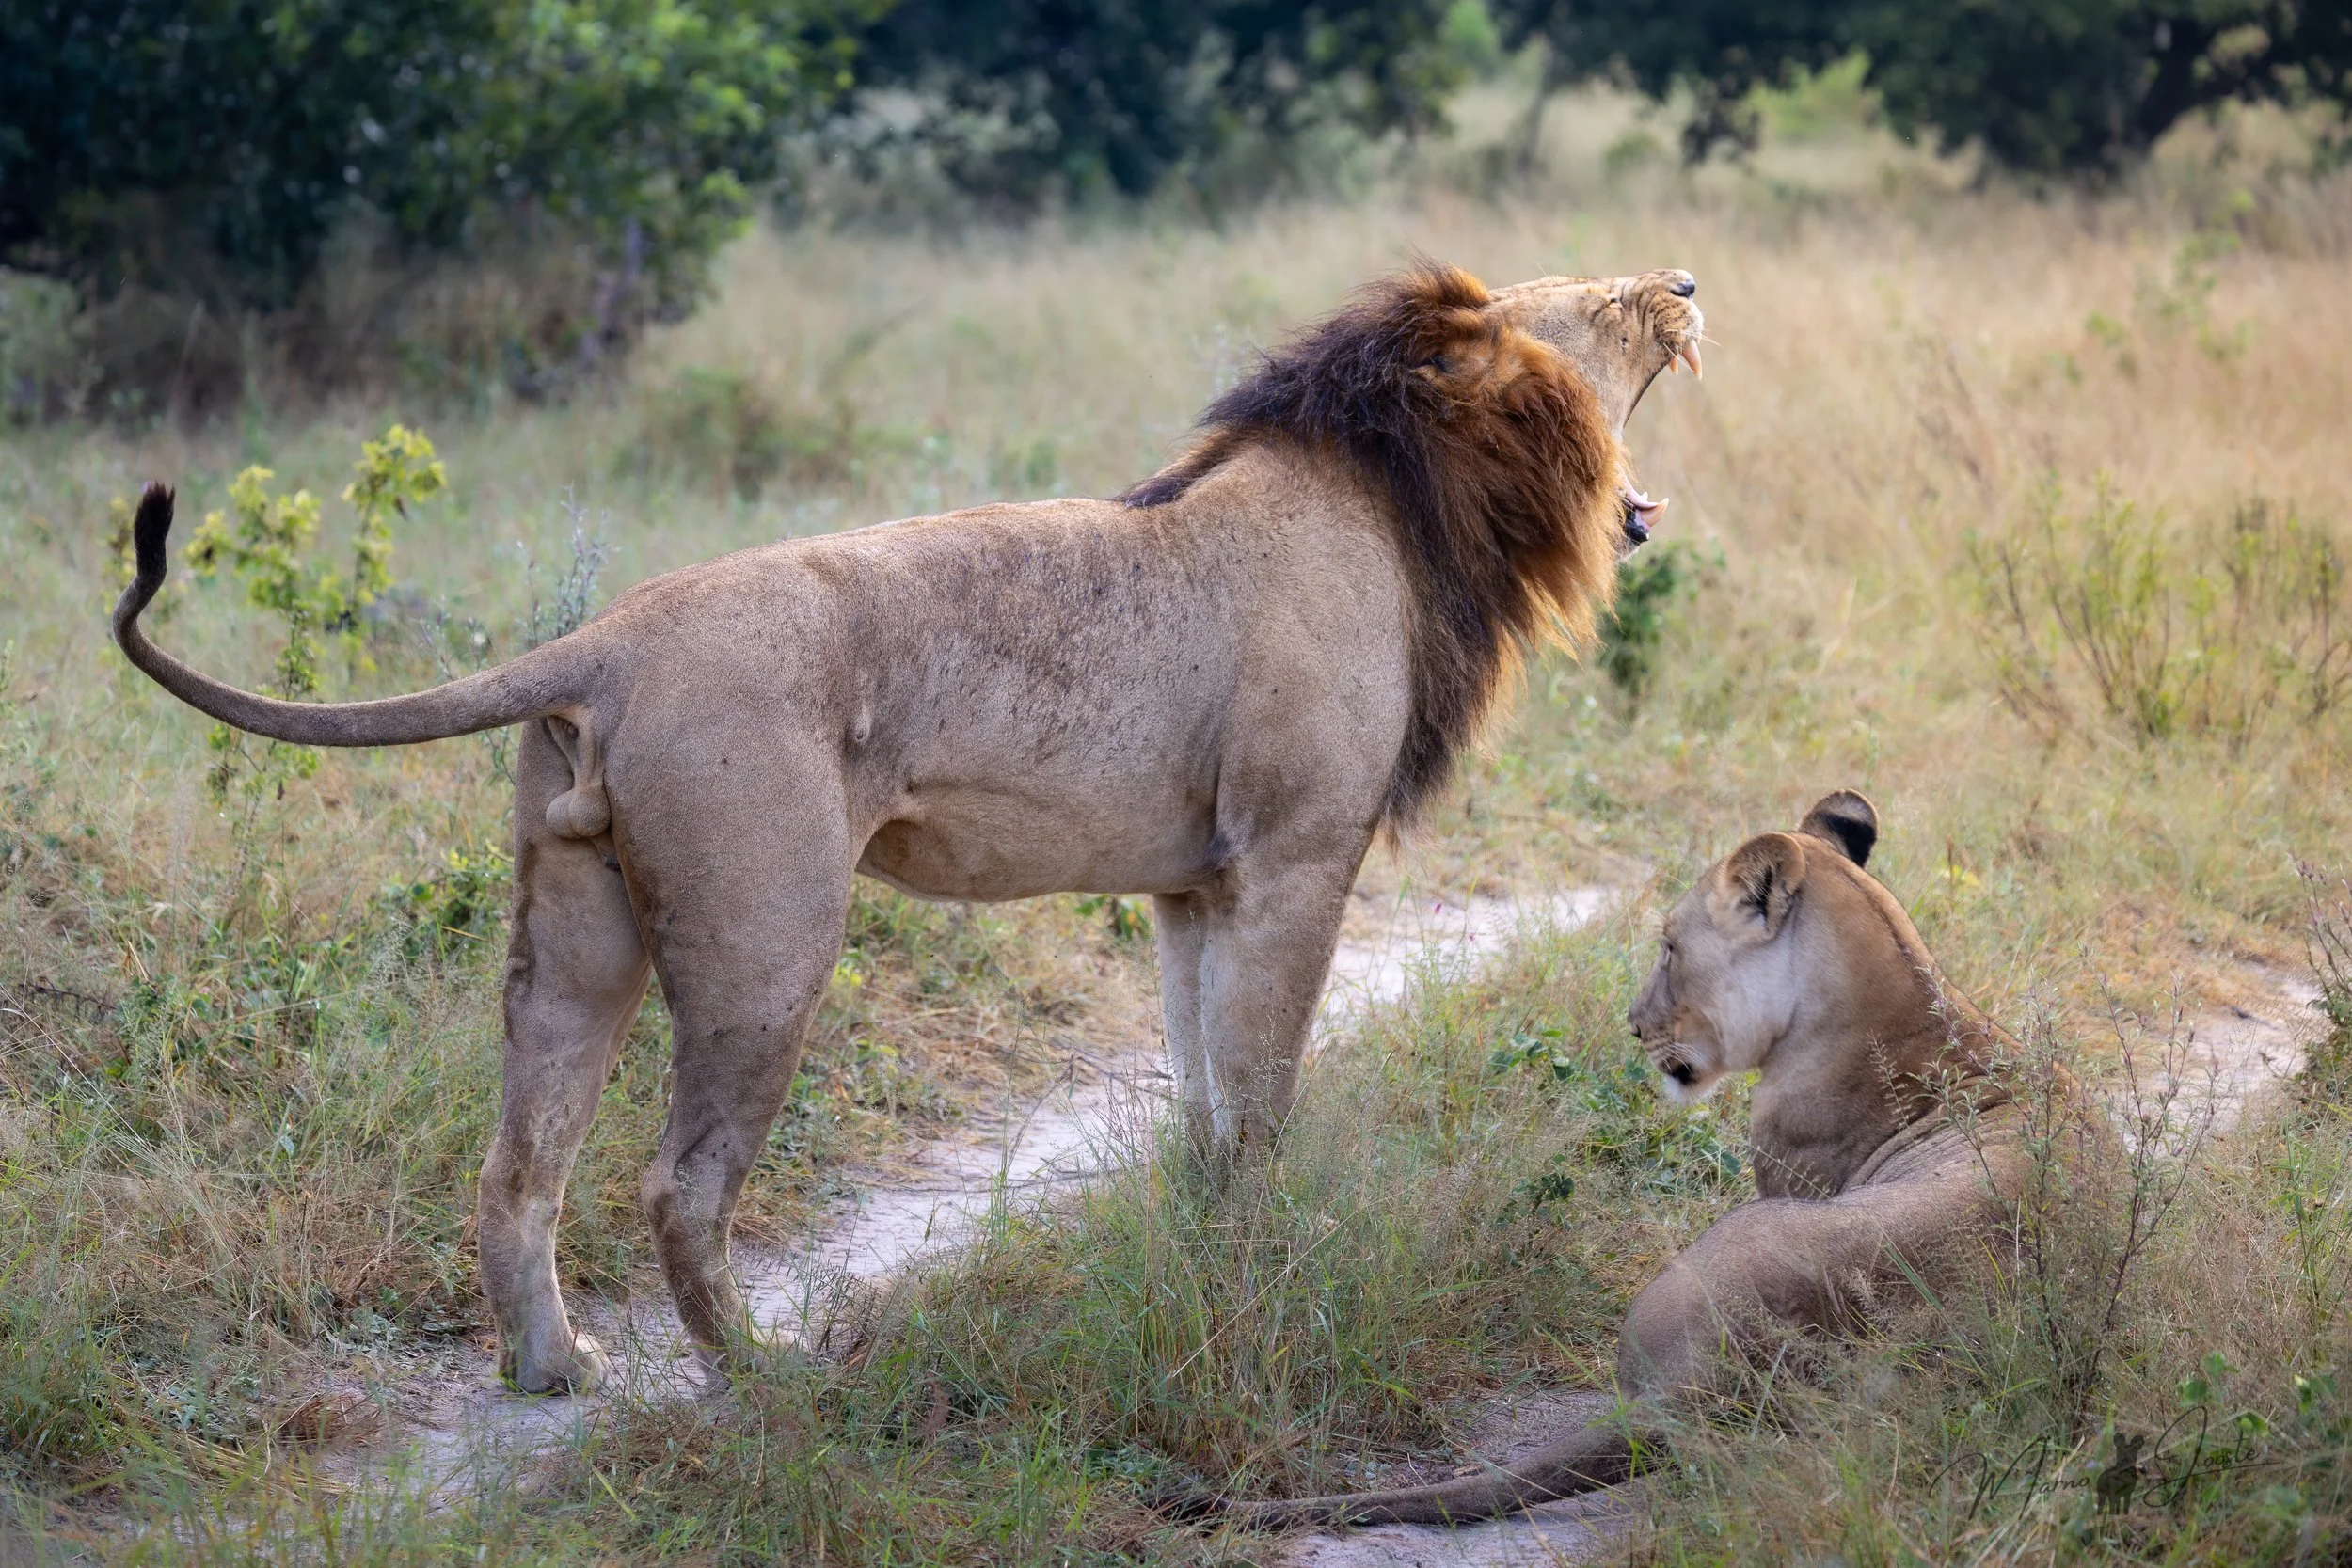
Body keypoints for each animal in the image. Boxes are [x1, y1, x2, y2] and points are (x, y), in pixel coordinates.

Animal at [111, 263, 1704, 1395]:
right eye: (1593, 299)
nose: (1687, 282)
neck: (1397, 495)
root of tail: (608, 639)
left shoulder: (1196, 889)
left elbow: (1199, 1096)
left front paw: (1205, 1252)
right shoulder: (1295, 861)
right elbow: (1258, 1102)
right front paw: (1270, 1270)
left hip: (576, 937)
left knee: (521, 1164)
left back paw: (557, 1366)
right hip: (769, 937)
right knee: (678, 1181)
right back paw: (761, 1369)